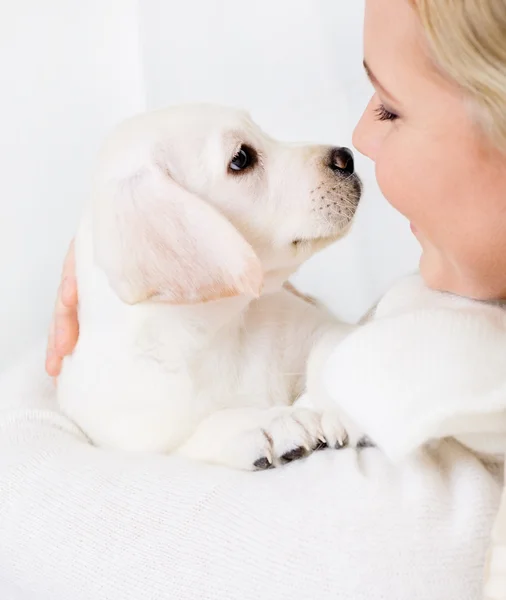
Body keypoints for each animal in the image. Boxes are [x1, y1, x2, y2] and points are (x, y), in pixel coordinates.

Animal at [57, 102, 362, 468]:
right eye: (241, 158)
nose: (347, 157)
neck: (215, 331)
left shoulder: (318, 327)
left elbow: (333, 349)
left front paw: (339, 402)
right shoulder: (141, 439)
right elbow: (200, 432)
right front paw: (270, 422)